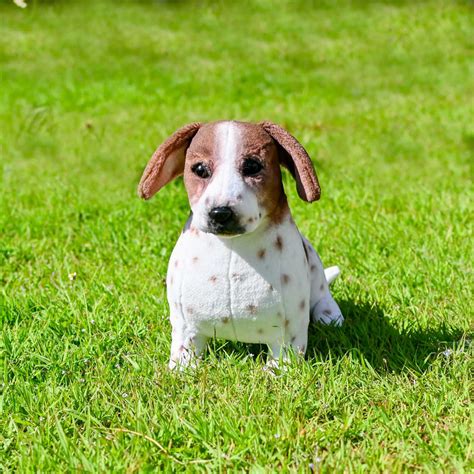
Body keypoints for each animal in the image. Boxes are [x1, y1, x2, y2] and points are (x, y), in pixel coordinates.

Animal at [139, 119, 342, 370]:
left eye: (253, 167)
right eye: (199, 169)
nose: (220, 212)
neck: (232, 245)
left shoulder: (289, 332)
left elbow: (284, 358)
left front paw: (275, 374)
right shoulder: (185, 326)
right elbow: (184, 350)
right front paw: (180, 371)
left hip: (313, 260)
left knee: (322, 291)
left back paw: (329, 314)